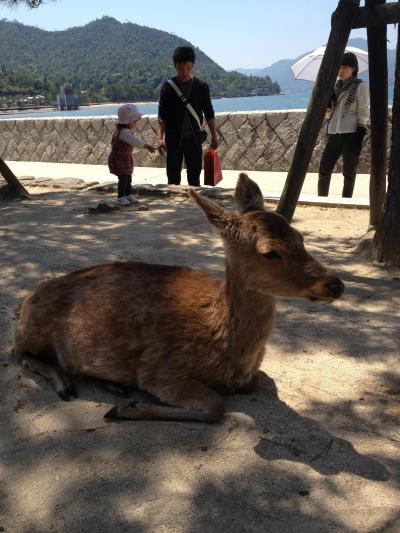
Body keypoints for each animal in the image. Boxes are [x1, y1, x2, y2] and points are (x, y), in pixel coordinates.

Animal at [12, 174, 344, 420]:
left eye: (299, 236)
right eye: (270, 252)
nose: (335, 285)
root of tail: (24, 302)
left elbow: (255, 382)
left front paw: (125, 403)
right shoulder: (160, 371)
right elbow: (215, 406)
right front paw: (126, 409)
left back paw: (111, 385)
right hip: (31, 331)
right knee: (19, 354)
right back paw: (68, 387)